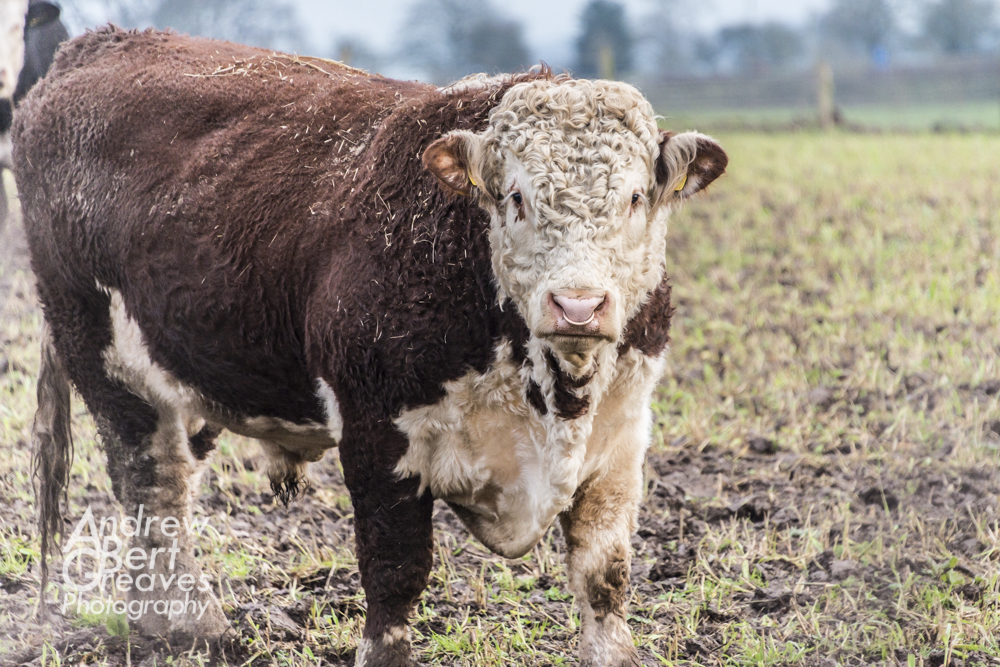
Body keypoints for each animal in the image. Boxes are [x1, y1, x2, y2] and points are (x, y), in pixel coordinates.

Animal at [15, 27, 726, 666]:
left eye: (635, 197)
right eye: (516, 197)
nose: (578, 305)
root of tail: (99, 43)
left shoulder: (622, 436)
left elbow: (604, 572)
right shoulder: (378, 431)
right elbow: (395, 569)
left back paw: (158, 621)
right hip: (99, 350)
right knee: (150, 485)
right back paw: (191, 626)